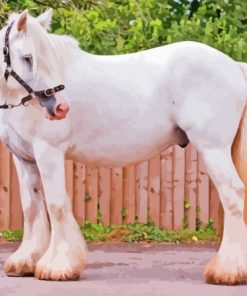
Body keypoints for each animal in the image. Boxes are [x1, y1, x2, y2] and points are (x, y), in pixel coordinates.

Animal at [0, 8, 247, 284]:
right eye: (28, 58)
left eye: (35, 57)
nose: (60, 108)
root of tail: (235, 66)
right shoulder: (24, 158)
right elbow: (31, 207)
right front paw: (25, 262)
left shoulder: (49, 152)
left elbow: (56, 204)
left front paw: (58, 266)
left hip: (214, 149)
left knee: (233, 194)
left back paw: (227, 271)